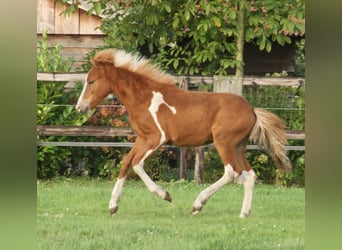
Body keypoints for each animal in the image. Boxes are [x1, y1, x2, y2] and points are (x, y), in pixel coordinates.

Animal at [75, 48, 292, 217]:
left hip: (224, 143)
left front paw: (165, 195)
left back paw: (198, 204)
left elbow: (136, 164)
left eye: (92, 81)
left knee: (232, 172)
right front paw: (113, 206)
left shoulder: (156, 139)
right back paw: (243, 214)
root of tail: (252, 110)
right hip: (239, 146)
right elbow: (126, 162)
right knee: (249, 175)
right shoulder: (142, 138)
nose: (80, 107)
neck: (144, 98)